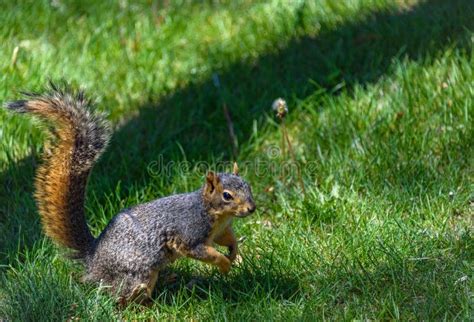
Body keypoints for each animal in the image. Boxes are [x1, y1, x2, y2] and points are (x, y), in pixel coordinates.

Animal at [4, 83, 256, 304]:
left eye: (248, 186)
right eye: (227, 195)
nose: (251, 208)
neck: (214, 213)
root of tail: (93, 259)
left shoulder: (220, 231)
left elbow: (228, 239)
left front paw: (234, 252)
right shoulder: (189, 234)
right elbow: (205, 253)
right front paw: (225, 264)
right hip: (137, 274)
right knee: (120, 297)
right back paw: (145, 305)